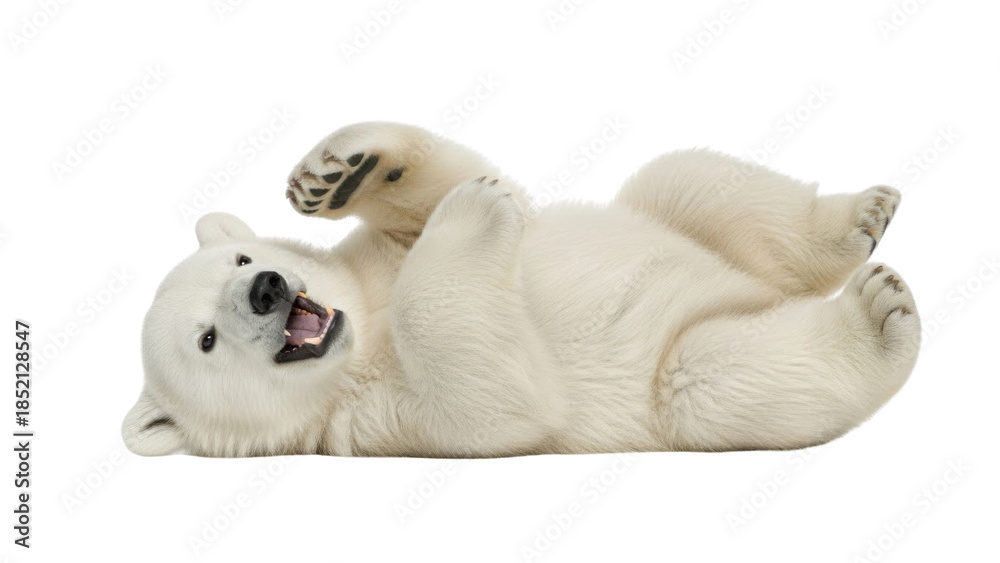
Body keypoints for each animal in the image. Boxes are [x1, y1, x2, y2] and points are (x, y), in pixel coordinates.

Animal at [122, 121, 920, 457]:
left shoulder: (376, 259)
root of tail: (748, 292)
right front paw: (480, 208)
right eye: (206, 340)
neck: (364, 330)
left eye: (240, 257)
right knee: (713, 378)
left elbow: (432, 191)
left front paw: (337, 171)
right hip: (686, 367)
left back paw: (862, 216)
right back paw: (877, 315)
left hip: (697, 225)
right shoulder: (370, 424)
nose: (265, 287)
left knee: (692, 182)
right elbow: (492, 398)